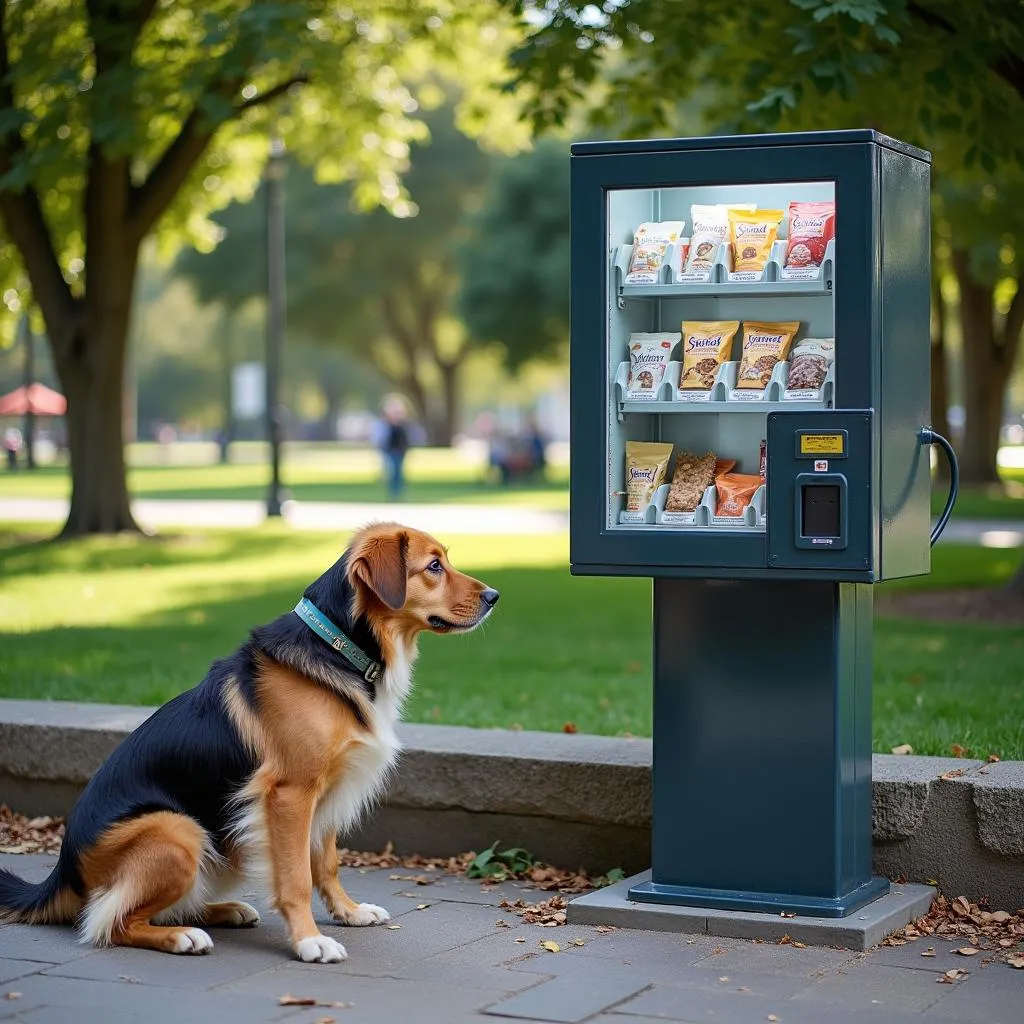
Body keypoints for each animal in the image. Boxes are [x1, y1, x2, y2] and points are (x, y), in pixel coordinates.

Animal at [0, 524, 499, 962]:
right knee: (110, 921)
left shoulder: (326, 791)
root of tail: (61, 874)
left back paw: (224, 911)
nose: (494, 597)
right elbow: (296, 878)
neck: (341, 648)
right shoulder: (291, 794)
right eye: (433, 566)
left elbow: (327, 863)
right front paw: (309, 941)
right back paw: (183, 936)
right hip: (178, 830)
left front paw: (349, 913)